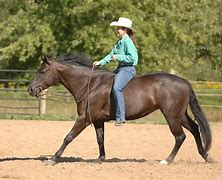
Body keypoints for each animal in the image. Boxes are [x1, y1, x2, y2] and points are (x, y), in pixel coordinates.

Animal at [27, 52, 212, 165]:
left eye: (43, 71)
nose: (30, 89)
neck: (90, 85)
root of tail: (183, 81)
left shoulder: (84, 119)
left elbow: (68, 137)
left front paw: (53, 158)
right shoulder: (97, 120)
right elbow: (100, 139)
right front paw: (100, 158)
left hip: (172, 116)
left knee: (180, 136)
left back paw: (167, 160)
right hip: (180, 115)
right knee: (195, 129)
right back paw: (206, 156)